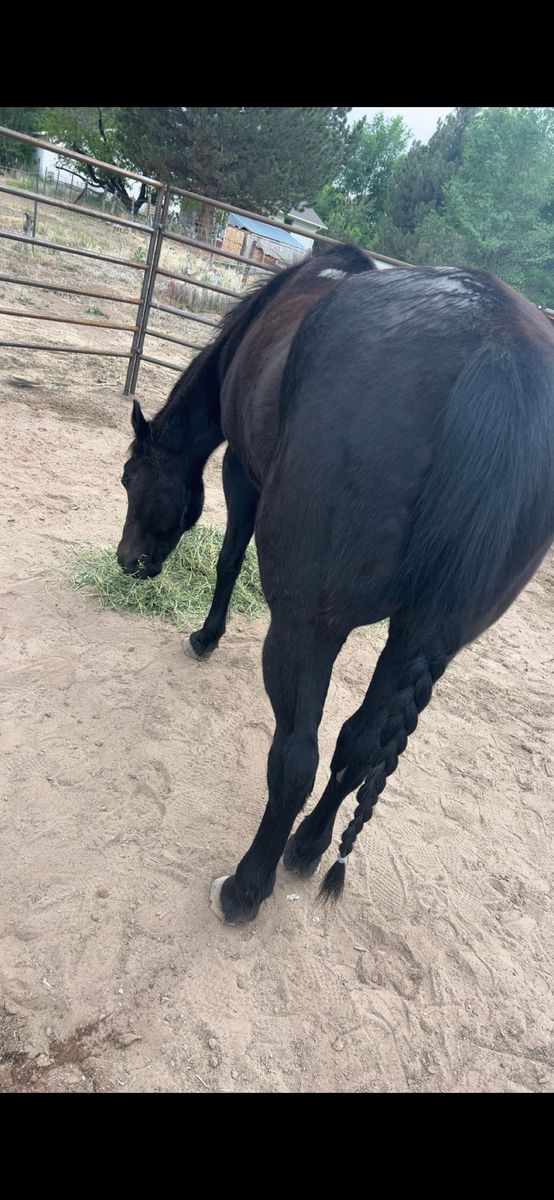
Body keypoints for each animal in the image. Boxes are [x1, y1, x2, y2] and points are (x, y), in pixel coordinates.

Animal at [117, 243, 554, 925]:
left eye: (130, 477)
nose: (126, 560)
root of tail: (499, 349)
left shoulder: (243, 472)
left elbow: (228, 560)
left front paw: (206, 636)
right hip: (416, 641)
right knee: (360, 744)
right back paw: (308, 845)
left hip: (307, 628)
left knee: (297, 758)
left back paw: (247, 885)